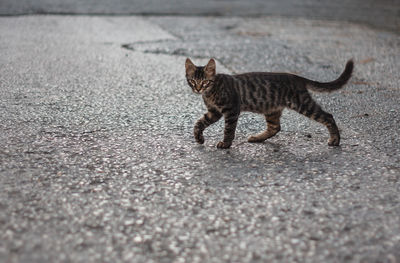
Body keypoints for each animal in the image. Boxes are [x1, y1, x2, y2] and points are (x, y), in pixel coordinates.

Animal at [184, 58, 354, 148]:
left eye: (205, 82)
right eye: (192, 81)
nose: (198, 89)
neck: (210, 92)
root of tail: (296, 77)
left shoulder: (231, 110)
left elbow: (229, 129)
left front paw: (226, 144)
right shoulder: (214, 112)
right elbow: (199, 123)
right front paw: (199, 138)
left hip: (302, 104)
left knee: (328, 116)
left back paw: (335, 140)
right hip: (271, 109)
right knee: (275, 127)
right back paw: (257, 138)